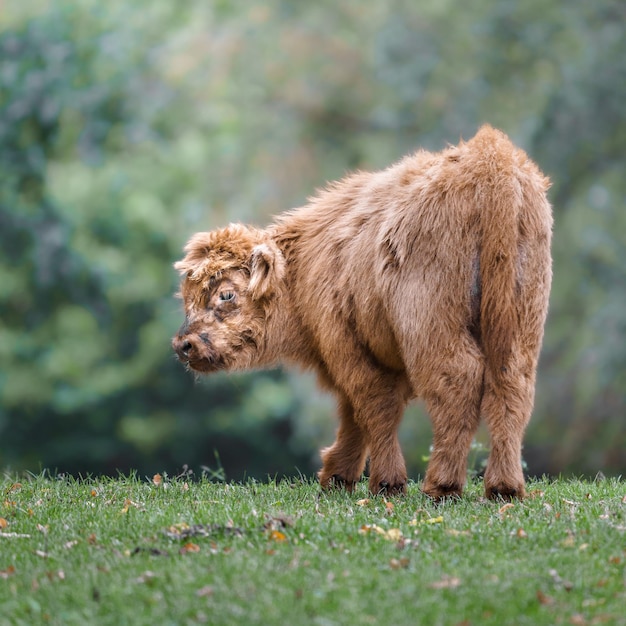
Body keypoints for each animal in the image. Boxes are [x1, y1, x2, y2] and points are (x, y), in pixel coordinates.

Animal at [172, 125, 552, 498]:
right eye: (186, 297)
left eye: (226, 294)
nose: (183, 345)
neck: (301, 266)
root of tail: (491, 159)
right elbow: (354, 414)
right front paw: (337, 477)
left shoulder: (351, 348)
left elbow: (372, 408)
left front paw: (385, 482)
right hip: (520, 325)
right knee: (512, 386)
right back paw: (504, 487)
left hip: (430, 327)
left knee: (457, 382)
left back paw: (441, 486)